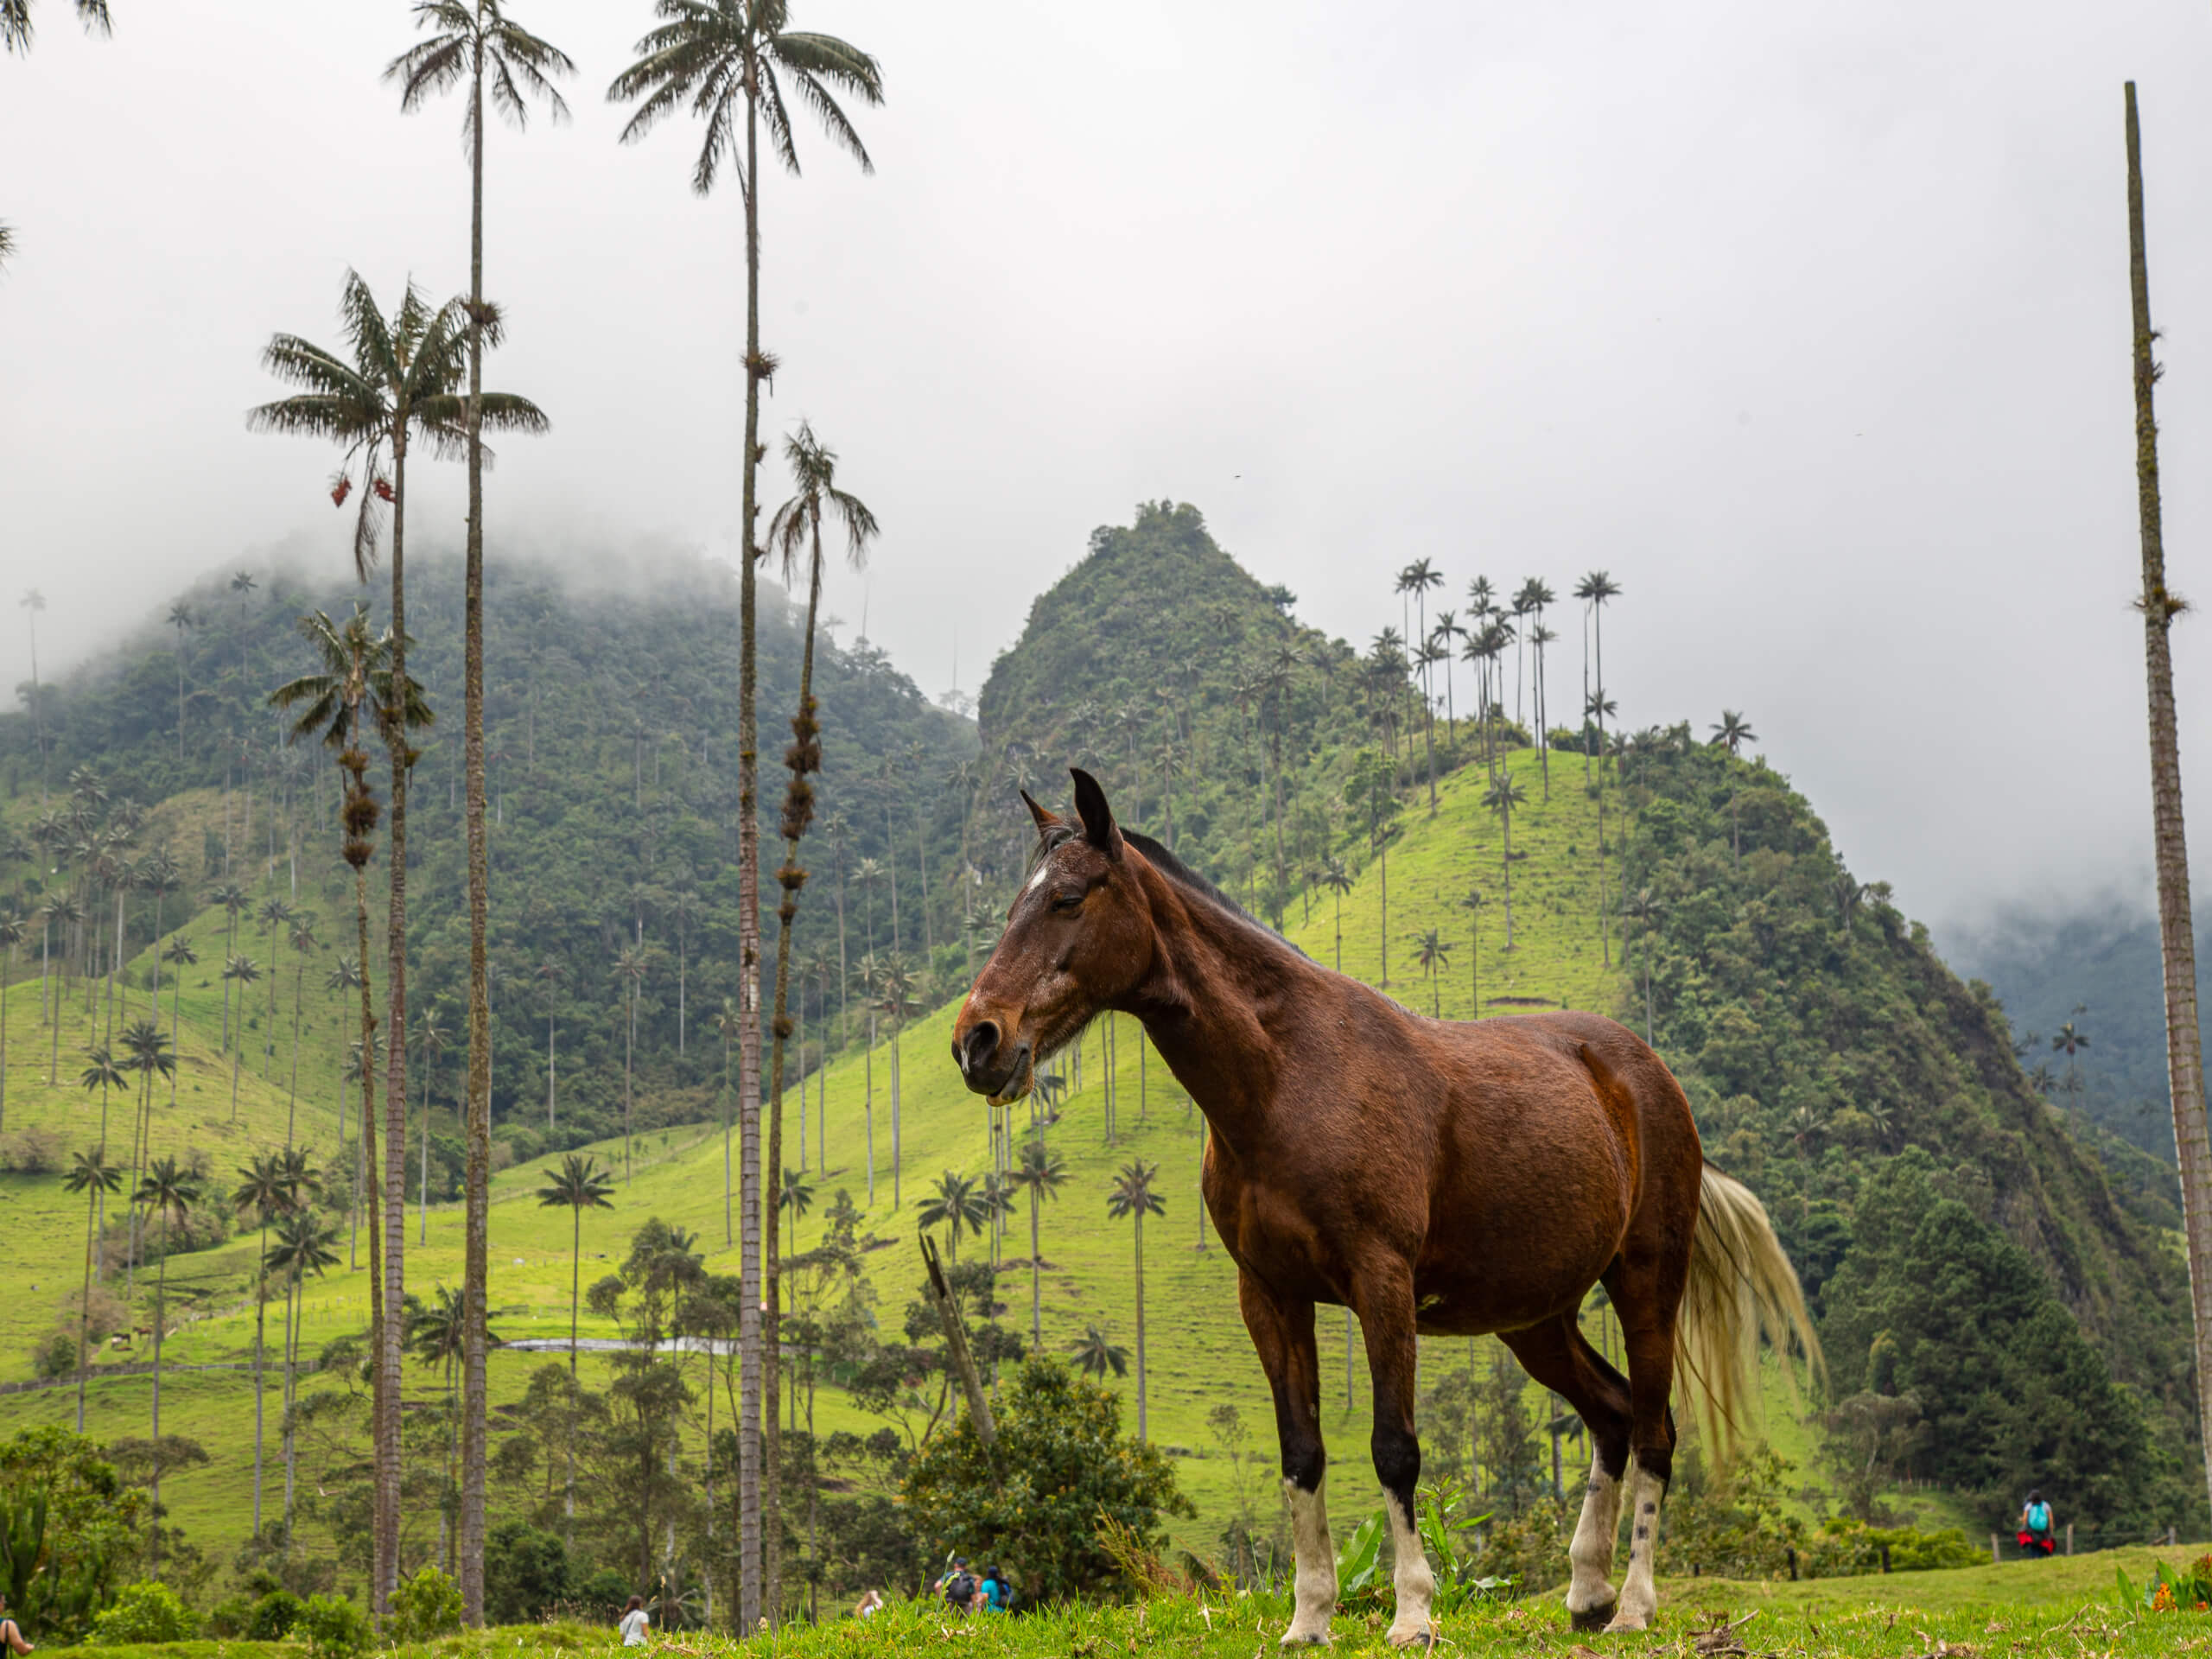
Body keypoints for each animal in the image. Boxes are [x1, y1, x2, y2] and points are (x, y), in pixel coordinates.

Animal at [950, 774, 1814, 1645]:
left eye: (1067, 900)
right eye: (1017, 904)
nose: (978, 1041)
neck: (1286, 1081)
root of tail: (1646, 1076)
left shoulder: (1382, 1283)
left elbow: (1395, 1448)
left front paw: (1412, 1614)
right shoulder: (1270, 1294)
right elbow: (1302, 1454)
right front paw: (1309, 1620)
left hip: (1646, 1280)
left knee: (1654, 1429)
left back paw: (1633, 1605)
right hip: (1536, 1318)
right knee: (1609, 1414)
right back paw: (1586, 1591)